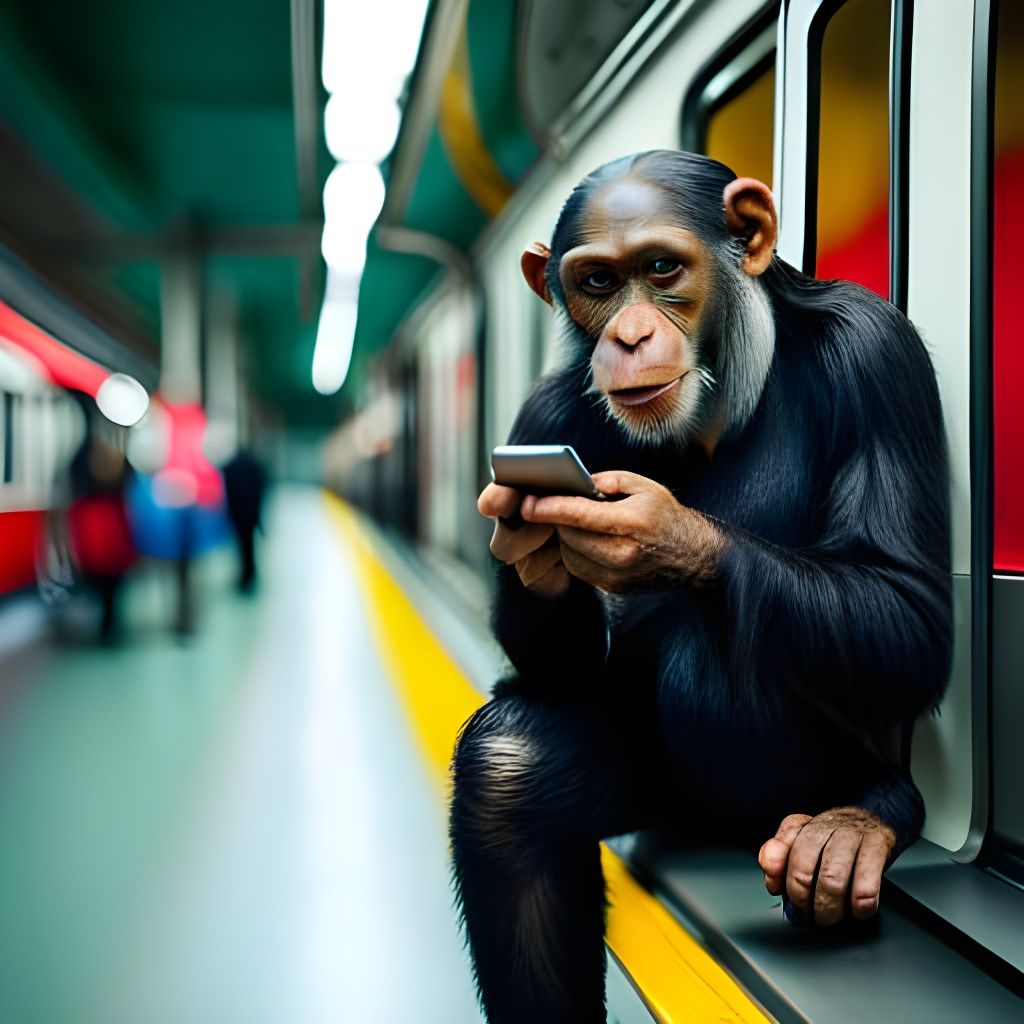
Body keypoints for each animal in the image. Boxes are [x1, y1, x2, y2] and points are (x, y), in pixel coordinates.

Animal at [449, 150, 952, 1024]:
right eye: (597, 282)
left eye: (660, 269)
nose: (627, 334)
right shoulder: (540, 414)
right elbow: (550, 675)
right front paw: (532, 544)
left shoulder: (879, 351)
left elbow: (910, 607)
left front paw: (662, 535)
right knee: (510, 772)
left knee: (712, 642)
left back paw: (865, 812)